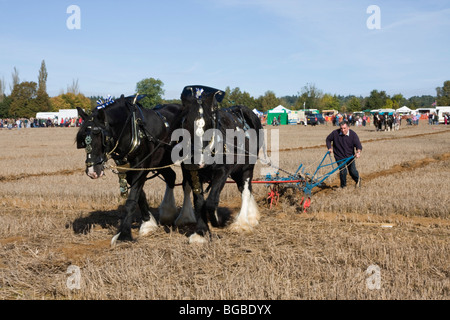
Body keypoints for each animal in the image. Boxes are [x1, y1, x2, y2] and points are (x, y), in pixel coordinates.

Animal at [75, 95, 195, 245]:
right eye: (83, 139)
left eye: (101, 137)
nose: (92, 171)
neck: (132, 130)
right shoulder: (127, 169)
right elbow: (140, 196)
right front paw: (148, 223)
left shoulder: (142, 167)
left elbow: (131, 200)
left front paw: (123, 234)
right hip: (162, 160)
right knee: (171, 177)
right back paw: (168, 213)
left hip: (187, 158)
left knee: (186, 184)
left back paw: (185, 217)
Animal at [176, 85, 266, 242]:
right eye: (185, 122)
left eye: (208, 124)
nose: (195, 160)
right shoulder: (193, 173)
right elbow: (199, 202)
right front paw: (201, 232)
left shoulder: (222, 172)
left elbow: (211, 201)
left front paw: (217, 220)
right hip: (236, 171)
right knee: (243, 188)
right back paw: (251, 216)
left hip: (247, 168)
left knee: (245, 191)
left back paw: (242, 222)